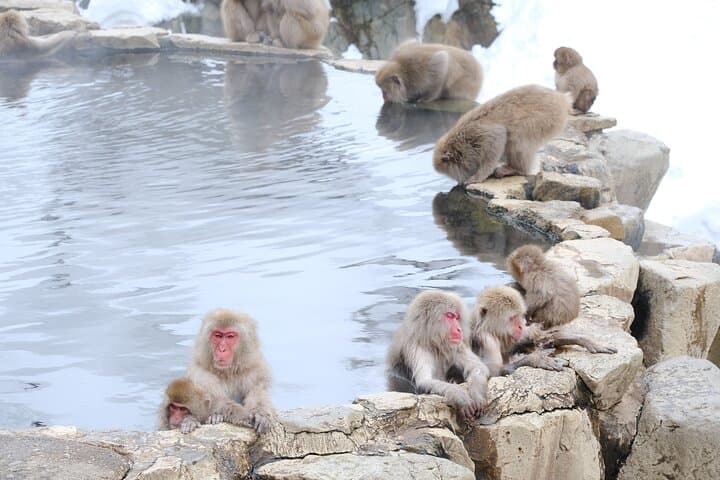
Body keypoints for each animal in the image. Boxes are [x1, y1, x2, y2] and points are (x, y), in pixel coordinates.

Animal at [386, 290, 490, 420]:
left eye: (457, 317)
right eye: (449, 316)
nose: (459, 329)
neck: (432, 343)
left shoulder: (455, 345)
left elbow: (478, 368)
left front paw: (477, 395)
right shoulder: (417, 349)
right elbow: (425, 381)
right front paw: (459, 395)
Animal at [432, 84, 570, 185]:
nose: (458, 182)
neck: (461, 142)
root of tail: (562, 98)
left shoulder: (477, 133)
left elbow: (497, 135)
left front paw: (479, 176)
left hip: (546, 119)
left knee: (517, 139)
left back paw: (516, 169)